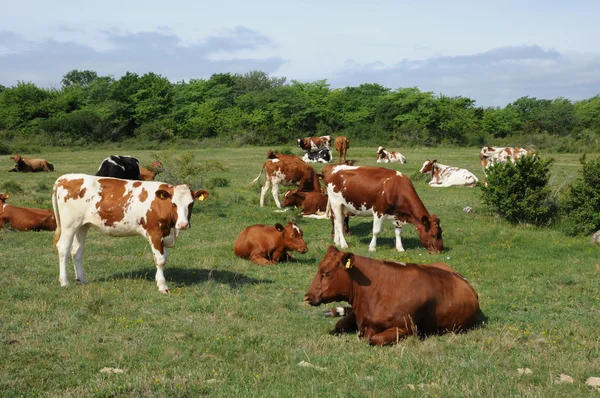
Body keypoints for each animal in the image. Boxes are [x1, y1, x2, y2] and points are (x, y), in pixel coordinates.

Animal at [52, 174, 211, 292]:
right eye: (173, 204)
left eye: (191, 203)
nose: (183, 224)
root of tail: (64, 178)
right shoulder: (155, 233)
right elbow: (160, 260)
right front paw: (162, 286)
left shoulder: (165, 234)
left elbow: (164, 257)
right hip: (69, 224)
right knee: (63, 248)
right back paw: (64, 282)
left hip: (82, 225)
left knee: (76, 251)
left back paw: (81, 279)